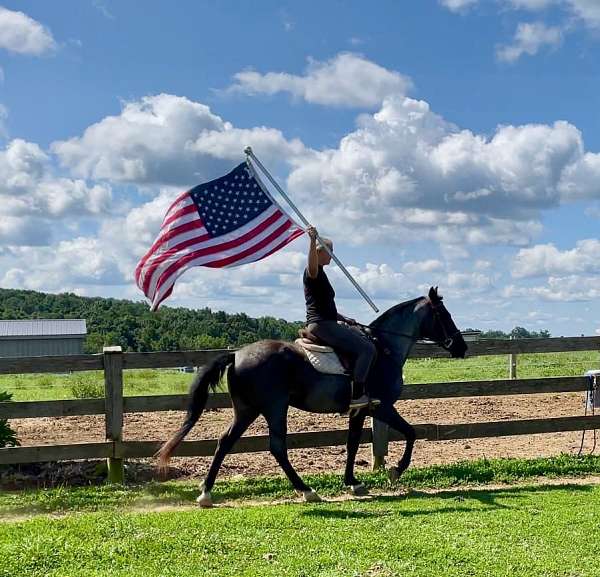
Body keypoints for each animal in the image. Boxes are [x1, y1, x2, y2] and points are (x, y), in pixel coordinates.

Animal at [157, 286, 466, 504]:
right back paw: (306, 490)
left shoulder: (359, 410)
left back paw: (206, 492)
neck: (384, 348)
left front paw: (353, 482)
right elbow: (411, 433)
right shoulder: (382, 407)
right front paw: (396, 471)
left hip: (247, 409)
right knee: (277, 447)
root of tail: (237, 354)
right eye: (445, 315)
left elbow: (352, 443)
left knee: (224, 442)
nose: (462, 347)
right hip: (274, 408)